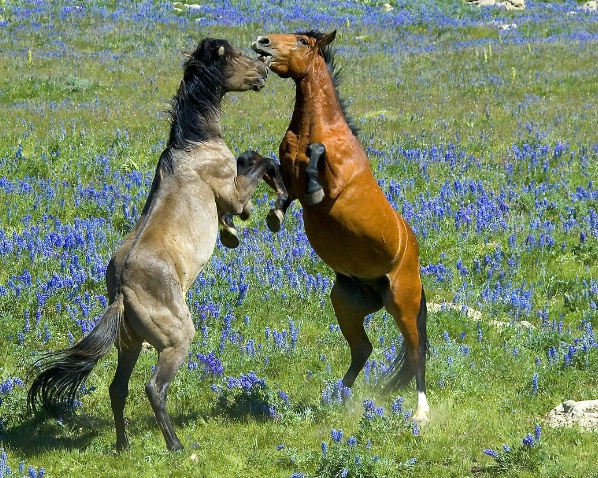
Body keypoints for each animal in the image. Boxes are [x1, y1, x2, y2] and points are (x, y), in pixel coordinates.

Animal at [27, 38, 288, 452]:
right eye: (232, 56)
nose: (263, 71)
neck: (193, 145)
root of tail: (121, 292)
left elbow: (251, 162)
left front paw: (232, 231)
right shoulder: (230, 191)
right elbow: (262, 163)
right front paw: (271, 210)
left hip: (130, 343)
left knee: (118, 389)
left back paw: (123, 446)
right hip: (175, 340)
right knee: (154, 387)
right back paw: (176, 447)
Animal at [253, 29, 432, 424]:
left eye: (303, 41)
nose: (262, 42)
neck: (317, 127)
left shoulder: (335, 180)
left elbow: (316, 160)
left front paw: (312, 188)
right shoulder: (286, 169)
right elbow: (271, 168)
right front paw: (275, 214)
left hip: (403, 303)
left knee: (415, 352)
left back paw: (420, 413)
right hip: (347, 303)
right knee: (363, 349)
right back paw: (336, 396)